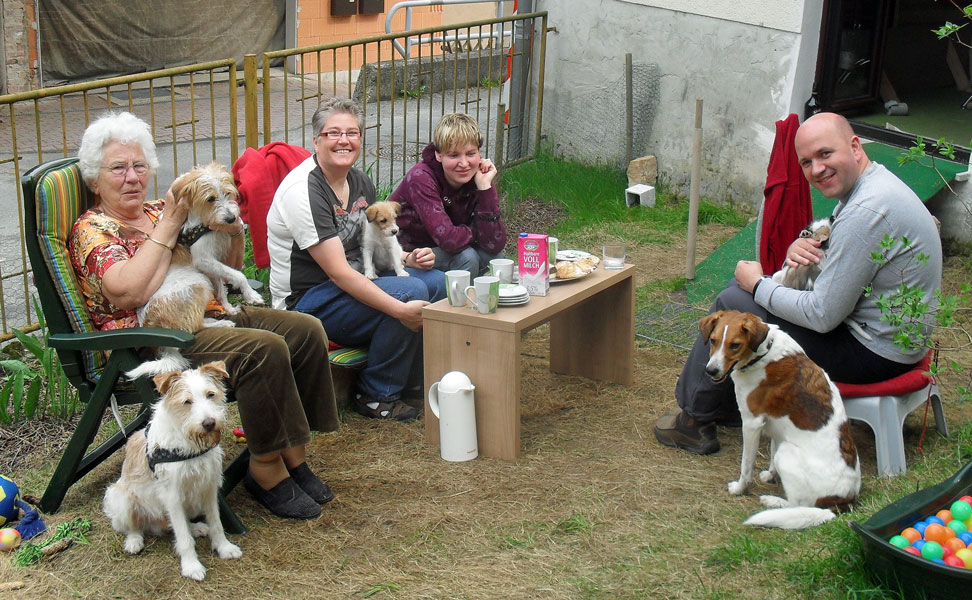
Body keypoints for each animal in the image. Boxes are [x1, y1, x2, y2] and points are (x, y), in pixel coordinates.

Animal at [103, 362, 242, 580]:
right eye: (187, 401)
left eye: (210, 394)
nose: (209, 423)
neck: (188, 441)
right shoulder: (172, 495)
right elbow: (183, 538)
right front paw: (191, 566)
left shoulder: (208, 487)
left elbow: (216, 523)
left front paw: (224, 548)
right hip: (120, 498)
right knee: (133, 526)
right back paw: (134, 542)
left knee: (175, 524)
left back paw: (196, 527)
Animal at [126, 163, 263, 379]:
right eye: (210, 199)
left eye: (228, 193)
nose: (232, 218)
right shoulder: (203, 259)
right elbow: (238, 275)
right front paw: (251, 295)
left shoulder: (213, 261)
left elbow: (222, 288)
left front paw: (229, 308)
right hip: (198, 282)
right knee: (195, 327)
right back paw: (221, 324)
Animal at [700, 310, 861, 529]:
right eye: (713, 341)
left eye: (735, 345)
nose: (711, 371)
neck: (762, 354)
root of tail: (843, 501)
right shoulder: (775, 427)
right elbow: (771, 449)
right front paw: (770, 475)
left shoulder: (750, 423)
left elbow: (746, 465)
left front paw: (740, 489)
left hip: (786, 453)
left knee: (797, 504)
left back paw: (772, 501)